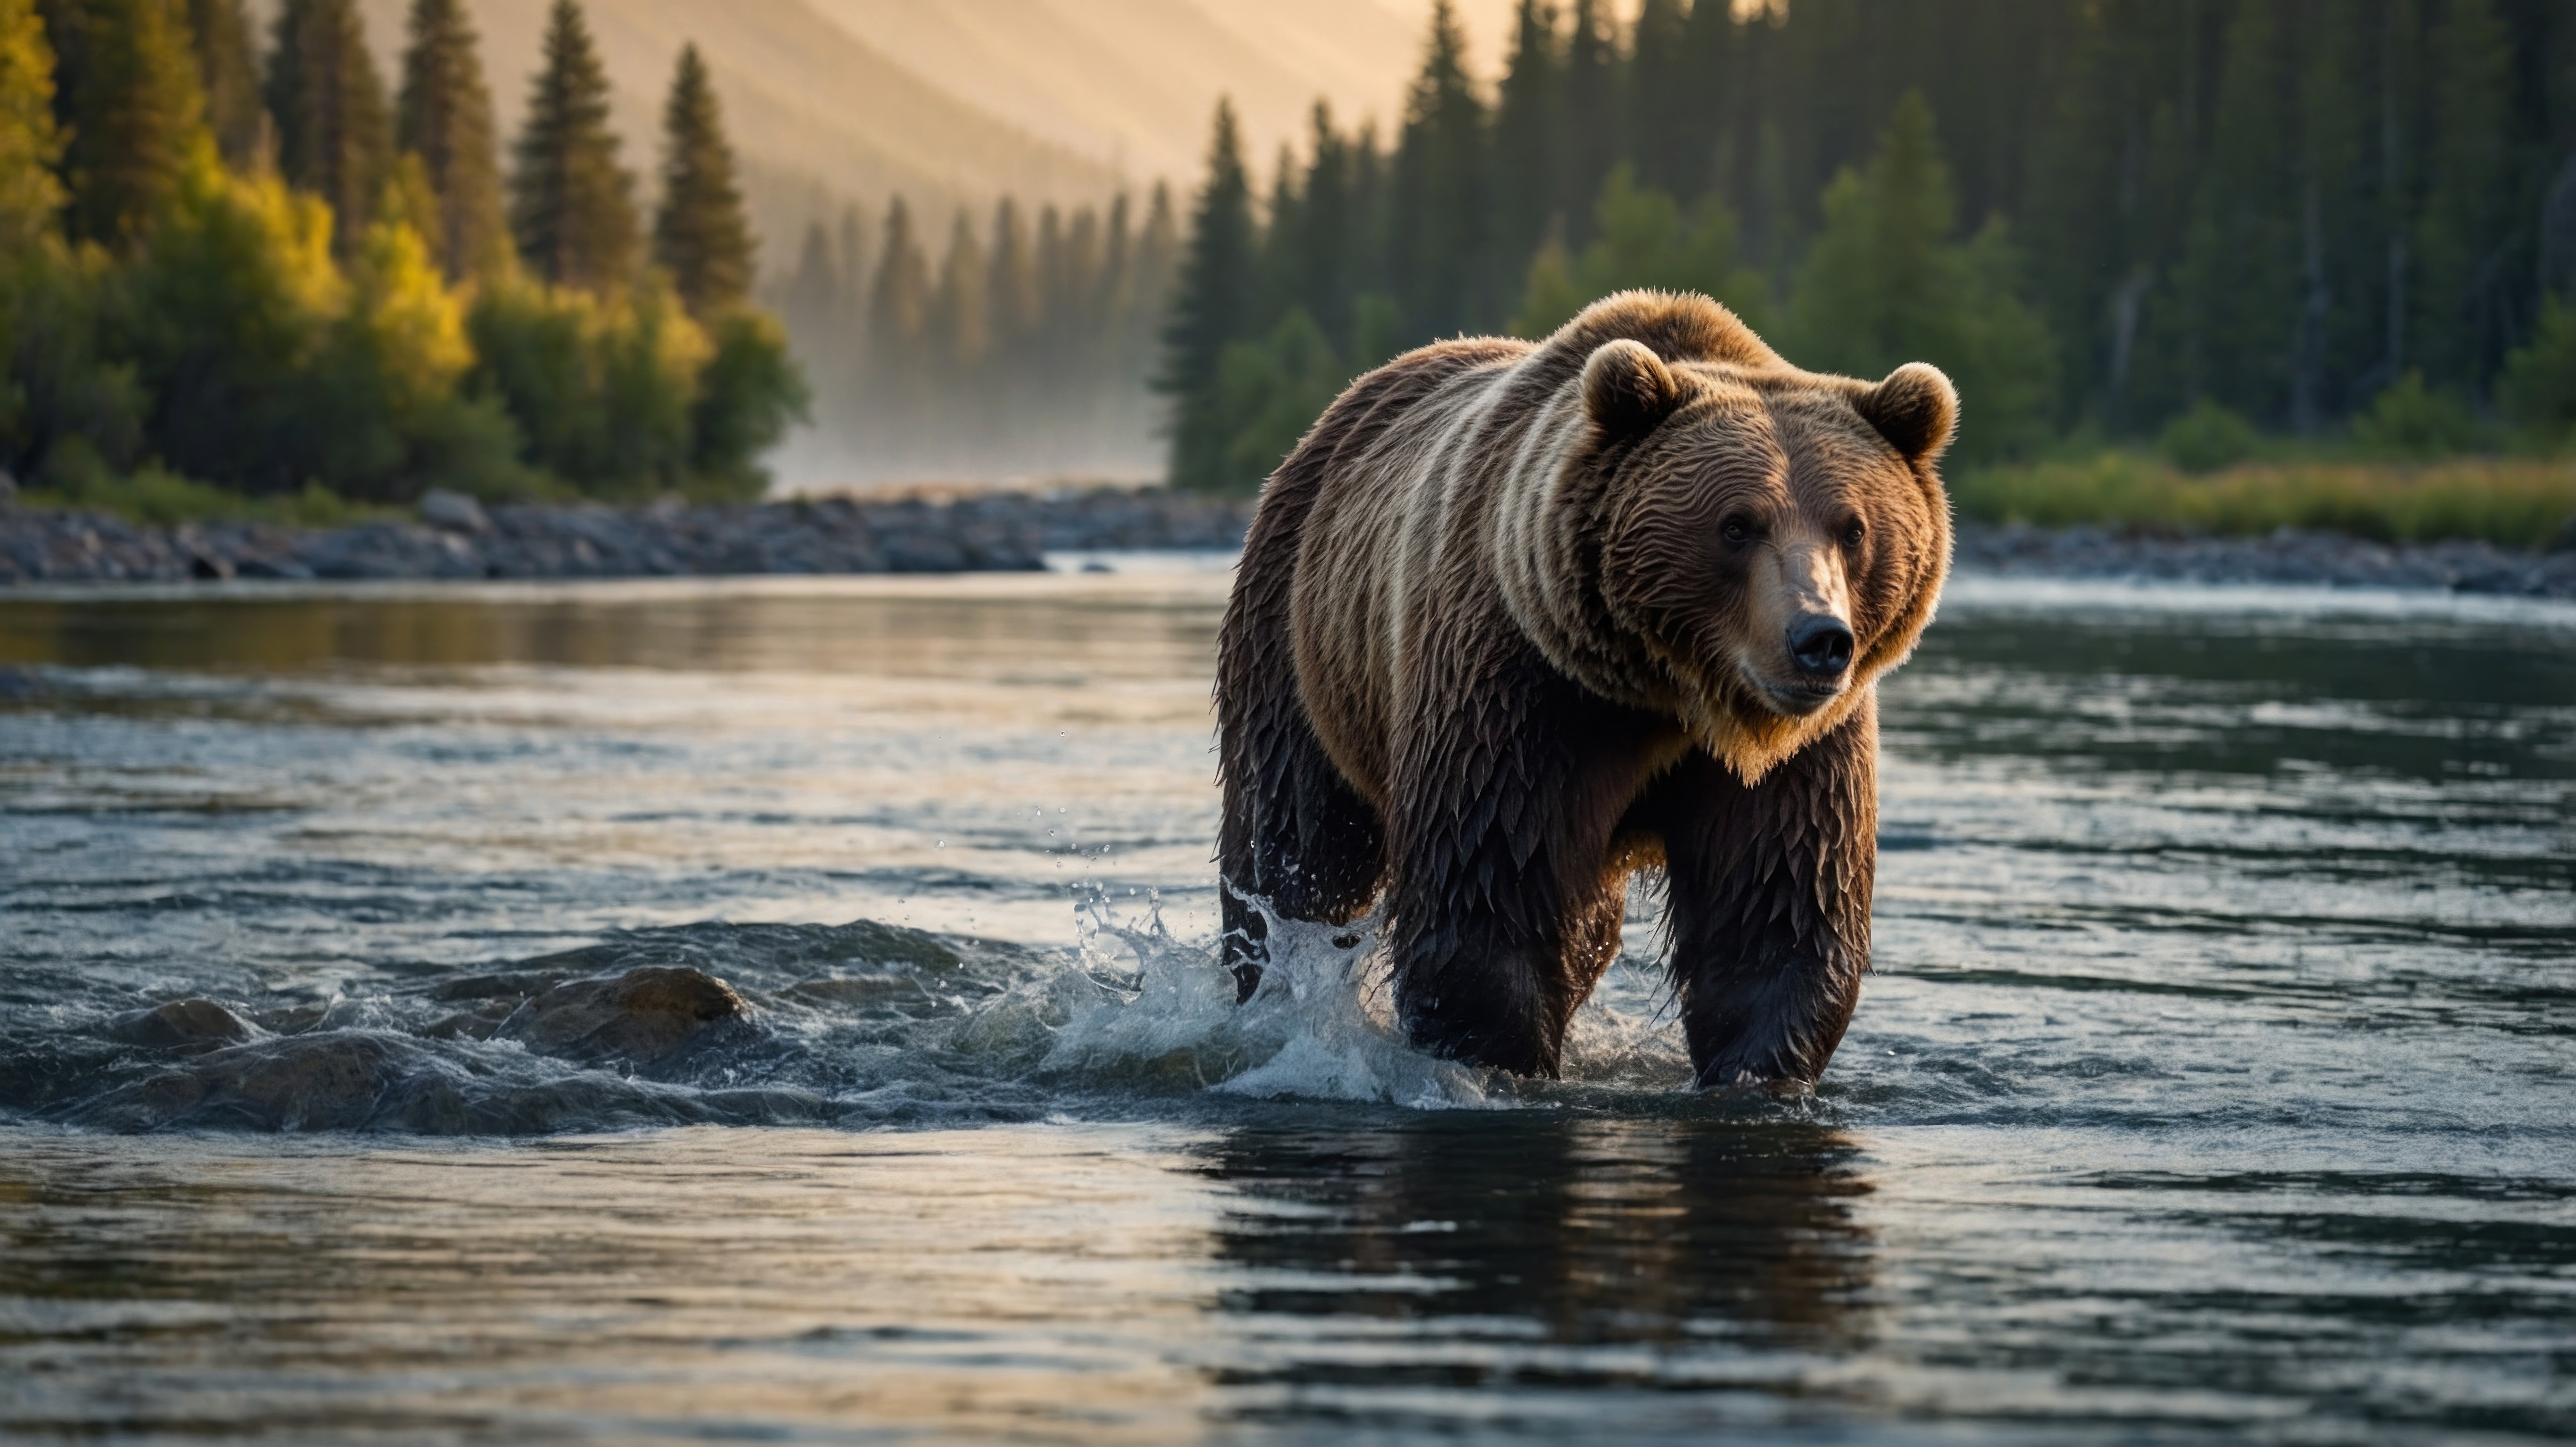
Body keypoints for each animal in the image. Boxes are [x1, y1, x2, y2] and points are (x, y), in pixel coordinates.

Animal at [1215, 290, 1955, 1089]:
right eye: (1736, 525)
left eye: (1852, 528)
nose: (1818, 639)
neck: (1671, 693)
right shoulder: (1523, 690)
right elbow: (1487, 893)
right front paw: (1500, 1055)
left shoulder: (1800, 753)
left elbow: (1773, 908)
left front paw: (1754, 1071)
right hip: (1301, 645)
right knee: (1294, 851)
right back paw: (1271, 979)